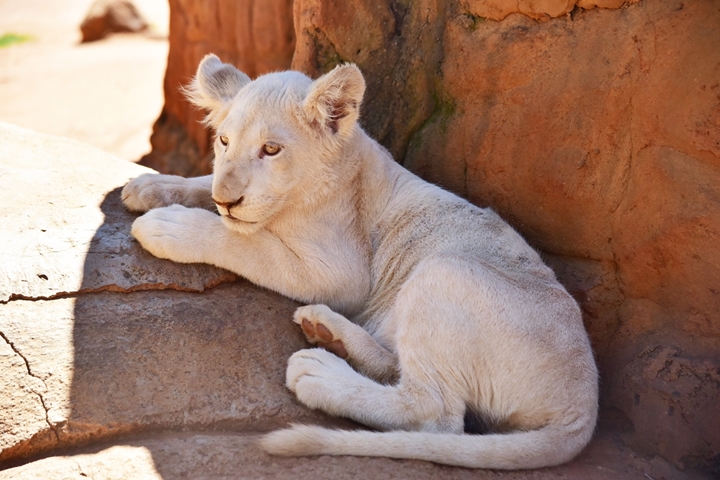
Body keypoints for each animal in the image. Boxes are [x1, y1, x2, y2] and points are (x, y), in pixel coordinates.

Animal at [122, 54, 598, 470]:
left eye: (271, 149)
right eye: (223, 141)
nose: (228, 199)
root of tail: (582, 405)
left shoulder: (341, 272)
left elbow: (246, 242)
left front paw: (169, 225)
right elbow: (207, 190)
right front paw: (148, 186)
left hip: (444, 270)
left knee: (435, 412)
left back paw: (319, 372)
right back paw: (328, 332)